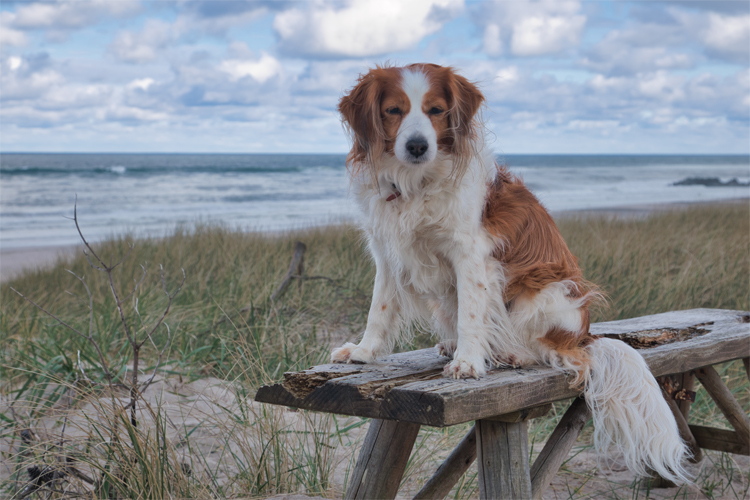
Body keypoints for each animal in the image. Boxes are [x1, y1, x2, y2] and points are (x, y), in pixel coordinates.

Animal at [334, 64, 692, 482]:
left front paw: (469, 361)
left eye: (436, 110)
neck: (416, 182)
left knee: (548, 350)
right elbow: (379, 310)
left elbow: (472, 315)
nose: (419, 146)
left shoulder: (471, 255)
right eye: (394, 110)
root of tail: (585, 336)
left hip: (542, 293)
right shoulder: (388, 252)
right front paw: (364, 352)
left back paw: (512, 354)